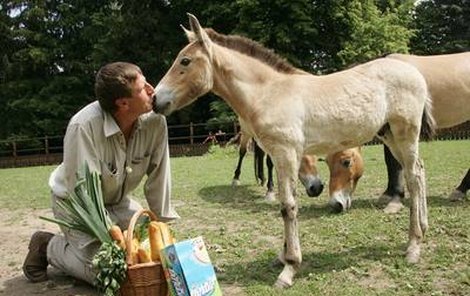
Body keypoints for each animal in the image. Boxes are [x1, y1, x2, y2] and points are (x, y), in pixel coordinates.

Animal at [153, 13, 434, 286]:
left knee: (413, 176)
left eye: (185, 61)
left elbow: (288, 206)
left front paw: (289, 269)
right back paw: (423, 229)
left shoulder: (286, 153)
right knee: (419, 172)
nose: (156, 99)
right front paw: (282, 257)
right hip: (390, 135)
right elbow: (285, 202)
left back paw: (413, 247)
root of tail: (415, 72)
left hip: (405, 133)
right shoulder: (279, 157)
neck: (270, 92)